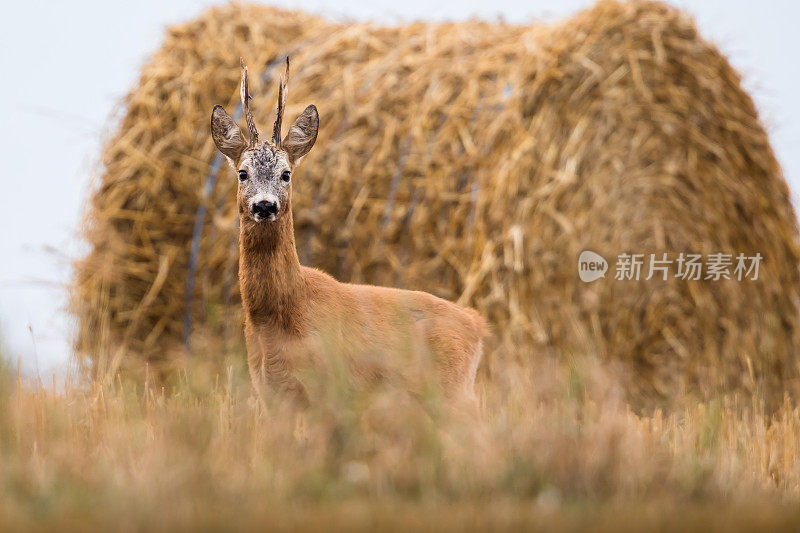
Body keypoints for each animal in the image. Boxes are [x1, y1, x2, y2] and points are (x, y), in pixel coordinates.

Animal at [211, 57, 488, 408]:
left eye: (286, 173)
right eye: (242, 173)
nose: (264, 206)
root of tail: (475, 322)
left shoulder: (330, 388)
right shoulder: (271, 394)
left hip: (455, 392)